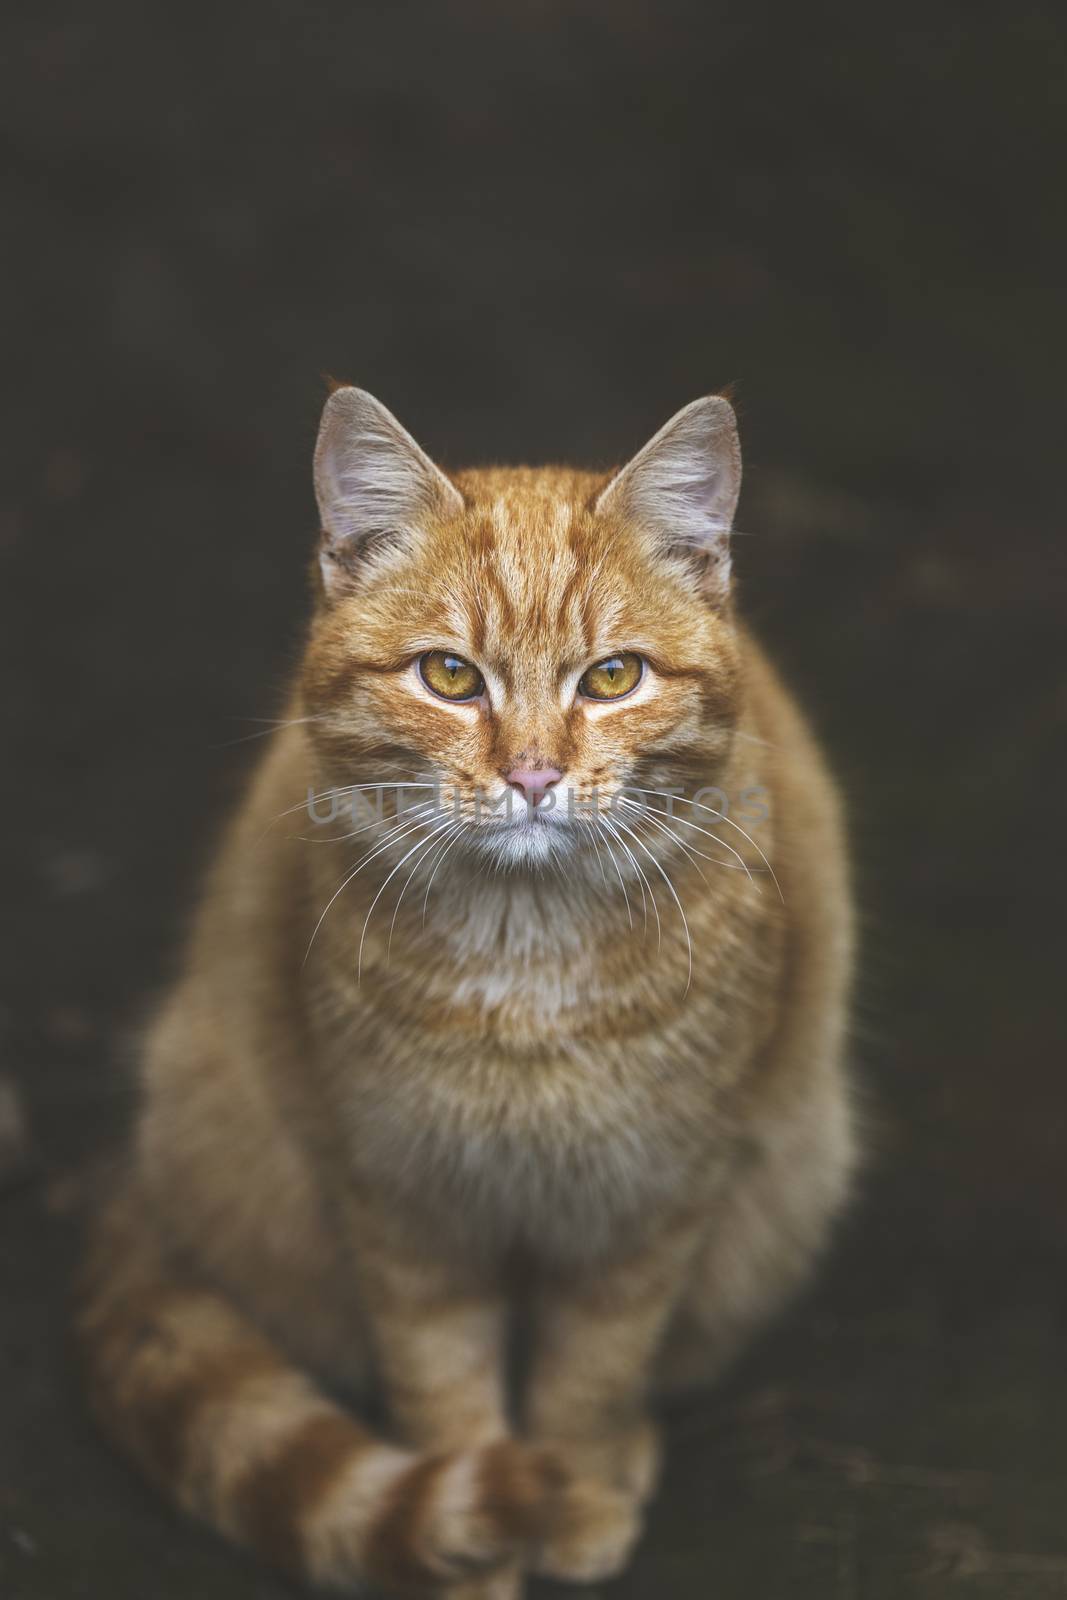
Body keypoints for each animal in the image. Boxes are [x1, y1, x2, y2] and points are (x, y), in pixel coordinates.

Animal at [79, 390, 857, 1600]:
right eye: (448, 677)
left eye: (611, 678)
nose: (533, 774)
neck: (523, 962)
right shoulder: (400, 1195)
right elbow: (440, 1380)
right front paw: (470, 1547)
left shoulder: (650, 1195)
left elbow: (594, 1365)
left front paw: (572, 1488)